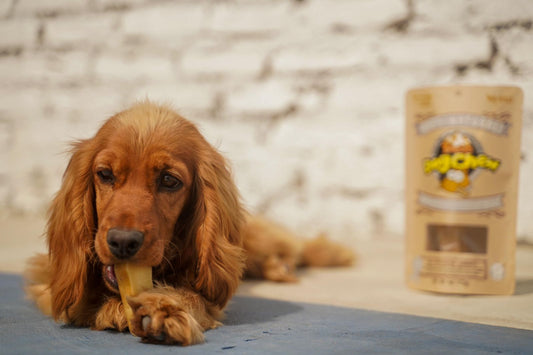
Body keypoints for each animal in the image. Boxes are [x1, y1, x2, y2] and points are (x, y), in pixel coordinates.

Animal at [26, 101, 354, 346]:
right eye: (105, 174)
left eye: (169, 180)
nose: (122, 242)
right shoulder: (47, 276)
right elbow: (76, 295)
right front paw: (113, 307)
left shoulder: (211, 294)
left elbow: (192, 296)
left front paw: (165, 310)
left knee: (295, 246)